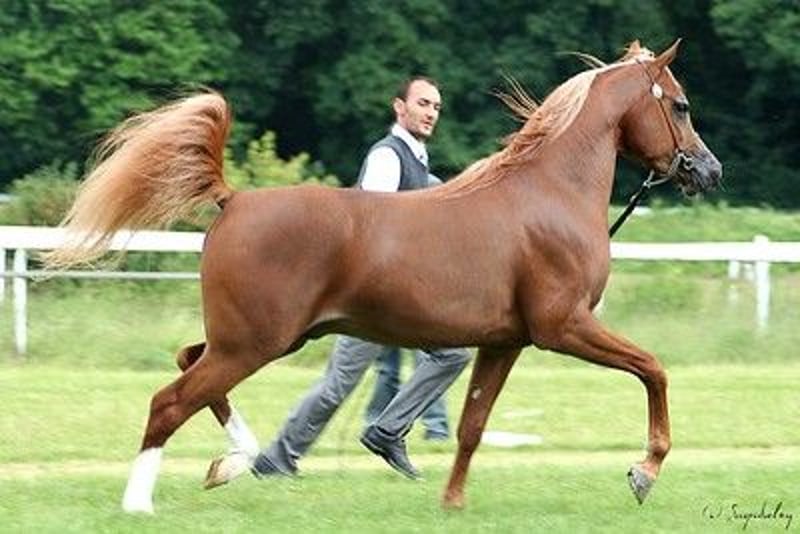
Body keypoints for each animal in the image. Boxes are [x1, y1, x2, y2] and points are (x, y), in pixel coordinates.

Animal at [43, 39, 721, 514]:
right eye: (681, 104)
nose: (709, 171)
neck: (548, 193)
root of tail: (232, 200)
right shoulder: (564, 327)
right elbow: (654, 370)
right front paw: (644, 472)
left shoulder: (504, 342)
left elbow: (472, 426)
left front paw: (451, 503)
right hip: (253, 344)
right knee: (169, 400)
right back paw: (142, 502)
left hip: (256, 339)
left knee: (190, 367)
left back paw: (233, 463)